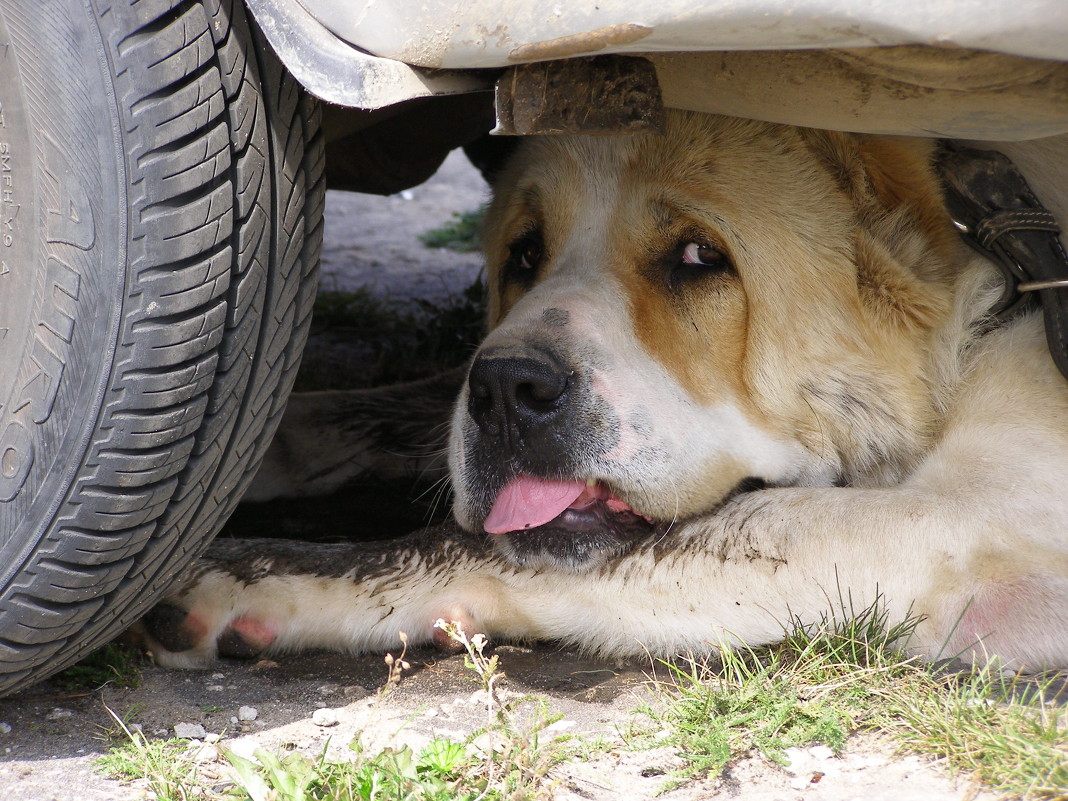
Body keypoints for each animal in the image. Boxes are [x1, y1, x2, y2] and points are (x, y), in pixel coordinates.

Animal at [137, 113, 1068, 674]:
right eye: (523, 253)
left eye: (697, 257)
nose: (507, 386)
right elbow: (409, 406)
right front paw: (267, 437)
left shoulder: (959, 518)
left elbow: (464, 546)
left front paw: (254, 579)